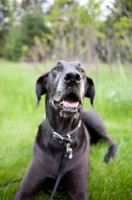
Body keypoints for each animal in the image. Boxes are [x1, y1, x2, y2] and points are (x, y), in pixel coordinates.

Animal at [13, 60, 116, 200]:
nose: (73, 77)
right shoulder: (25, 188)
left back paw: (109, 156)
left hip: (93, 121)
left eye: (82, 70)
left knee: (111, 141)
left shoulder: (78, 189)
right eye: (56, 68)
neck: (62, 135)